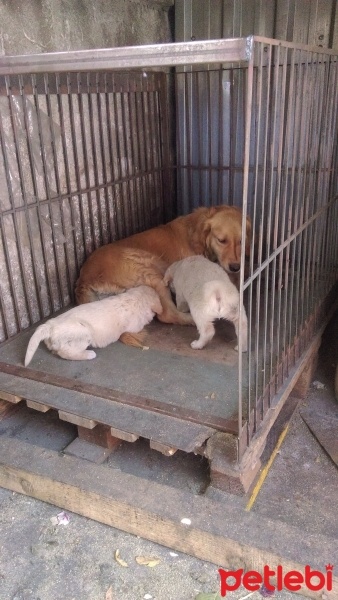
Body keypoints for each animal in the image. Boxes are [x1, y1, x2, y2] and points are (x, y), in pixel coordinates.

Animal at [24, 286, 162, 366]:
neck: (134, 298)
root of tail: (49, 326)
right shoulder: (135, 327)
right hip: (84, 333)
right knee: (66, 352)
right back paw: (89, 354)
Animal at [76, 205, 251, 328]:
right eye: (221, 240)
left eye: (241, 241)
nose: (236, 267)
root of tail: (84, 278)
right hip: (150, 269)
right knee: (167, 314)